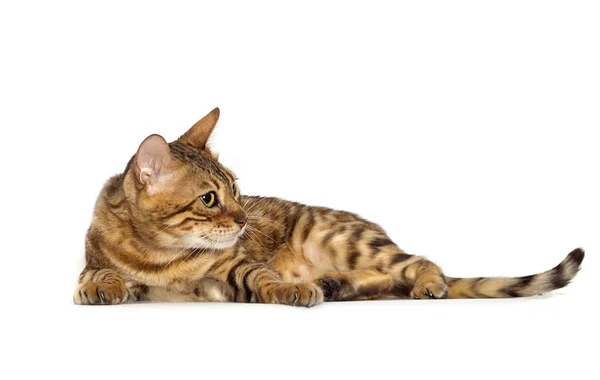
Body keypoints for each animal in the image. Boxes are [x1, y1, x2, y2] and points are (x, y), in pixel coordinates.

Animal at [72, 107, 584, 306]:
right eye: (209, 199)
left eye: (236, 190)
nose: (243, 219)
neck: (160, 257)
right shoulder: (96, 257)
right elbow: (94, 273)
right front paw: (100, 286)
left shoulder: (235, 265)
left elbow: (264, 276)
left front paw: (288, 287)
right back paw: (336, 285)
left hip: (342, 238)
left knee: (417, 263)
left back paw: (423, 284)